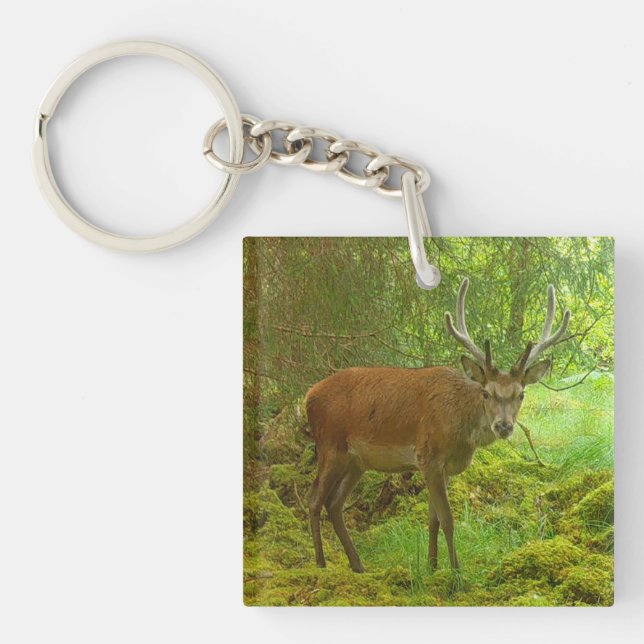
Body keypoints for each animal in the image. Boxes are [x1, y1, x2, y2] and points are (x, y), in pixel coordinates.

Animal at [304, 278, 571, 573]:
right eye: (486, 393)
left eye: (521, 394)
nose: (503, 426)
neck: (461, 434)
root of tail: (308, 396)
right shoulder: (428, 456)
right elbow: (448, 519)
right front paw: (456, 571)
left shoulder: (445, 468)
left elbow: (432, 519)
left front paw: (432, 567)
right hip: (330, 444)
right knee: (314, 499)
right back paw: (320, 563)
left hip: (357, 461)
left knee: (334, 504)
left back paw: (358, 565)